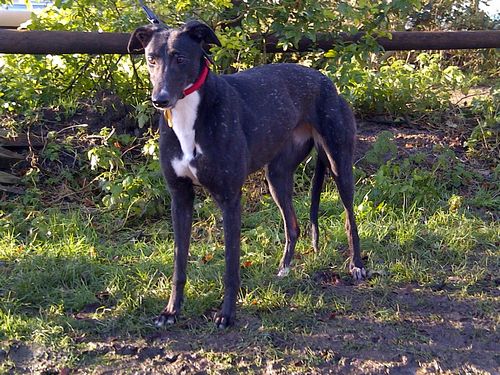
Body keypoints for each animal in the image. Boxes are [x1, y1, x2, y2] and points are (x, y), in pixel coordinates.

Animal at [127, 20, 366, 328]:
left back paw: (356, 265)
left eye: (180, 58)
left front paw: (226, 315)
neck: (190, 114)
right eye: (151, 59)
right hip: (276, 176)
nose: (160, 100)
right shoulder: (180, 198)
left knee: (350, 219)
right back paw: (284, 269)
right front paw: (171, 311)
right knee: (293, 225)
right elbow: (179, 264)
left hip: (339, 163)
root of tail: (324, 79)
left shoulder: (230, 198)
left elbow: (231, 265)